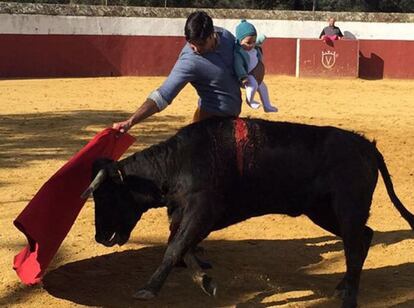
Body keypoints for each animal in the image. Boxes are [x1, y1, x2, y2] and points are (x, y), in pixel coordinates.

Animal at [81, 116, 414, 306]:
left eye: (106, 196)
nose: (99, 237)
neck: (177, 163)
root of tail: (367, 146)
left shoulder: (203, 210)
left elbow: (175, 248)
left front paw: (148, 289)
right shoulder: (187, 215)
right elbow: (181, 248)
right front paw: (206, 281)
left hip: (347, 207)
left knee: (355, 245)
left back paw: (350, 297)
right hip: (322, 211)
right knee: (363, 237)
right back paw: (343, 286)